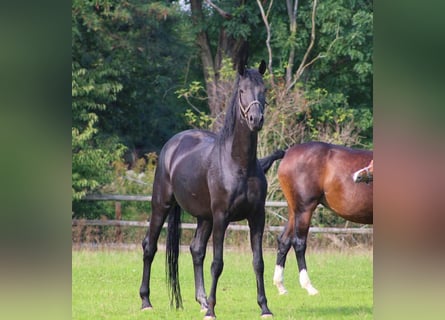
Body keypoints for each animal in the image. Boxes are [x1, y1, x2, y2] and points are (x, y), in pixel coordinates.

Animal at [139, 59, 272, 318]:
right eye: (242, 91)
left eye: (264, 90)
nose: (256, 119)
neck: (239, 164)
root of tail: (173, 143)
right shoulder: (222, 217)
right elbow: (217, 263)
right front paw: (212, 308)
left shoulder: (256, 217)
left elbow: (258, 262)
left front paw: (264, 307)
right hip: (162, 205)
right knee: (149, 246)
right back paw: (146, 301)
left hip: (204, 217)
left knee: (196, 250)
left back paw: (200, 301)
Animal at [270, 141, 372, 296]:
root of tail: (287, 153)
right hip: (304, 210)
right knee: (298, 243)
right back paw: (309, 286)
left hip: (294, 211)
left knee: (284, 241)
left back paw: (281, 286)